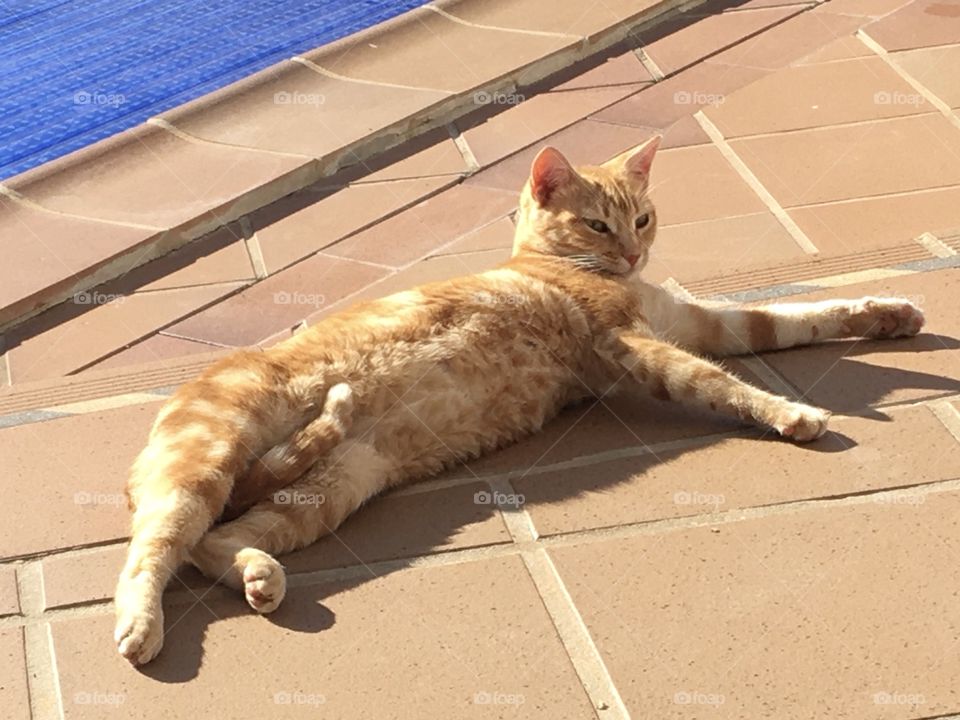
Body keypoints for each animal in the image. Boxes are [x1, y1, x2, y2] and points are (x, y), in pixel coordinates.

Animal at [112, 136, 924, 664]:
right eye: (598, 223)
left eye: (642, 218)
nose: (633, 251)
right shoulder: (636, 348)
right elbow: (721, 383)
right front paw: (793, 414)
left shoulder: (700, 325)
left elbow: (795, 317)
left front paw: (888, 313)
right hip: (207, 460)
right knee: (154, 550)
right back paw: (139, 628)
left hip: (333, 488)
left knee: (218, 542)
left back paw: (258, 575)